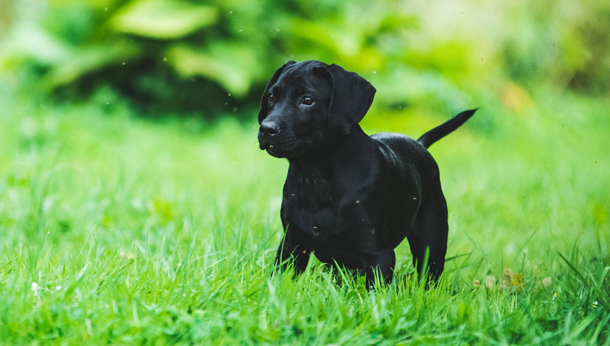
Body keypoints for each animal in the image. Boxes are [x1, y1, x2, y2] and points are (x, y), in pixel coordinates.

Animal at [256, 60, 476, 286]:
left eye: (307, 100)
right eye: (272, 96)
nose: (266, 129)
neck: (316, 176)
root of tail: (420, 144)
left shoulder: (379, 254)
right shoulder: (292, 245)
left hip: (431, 239)